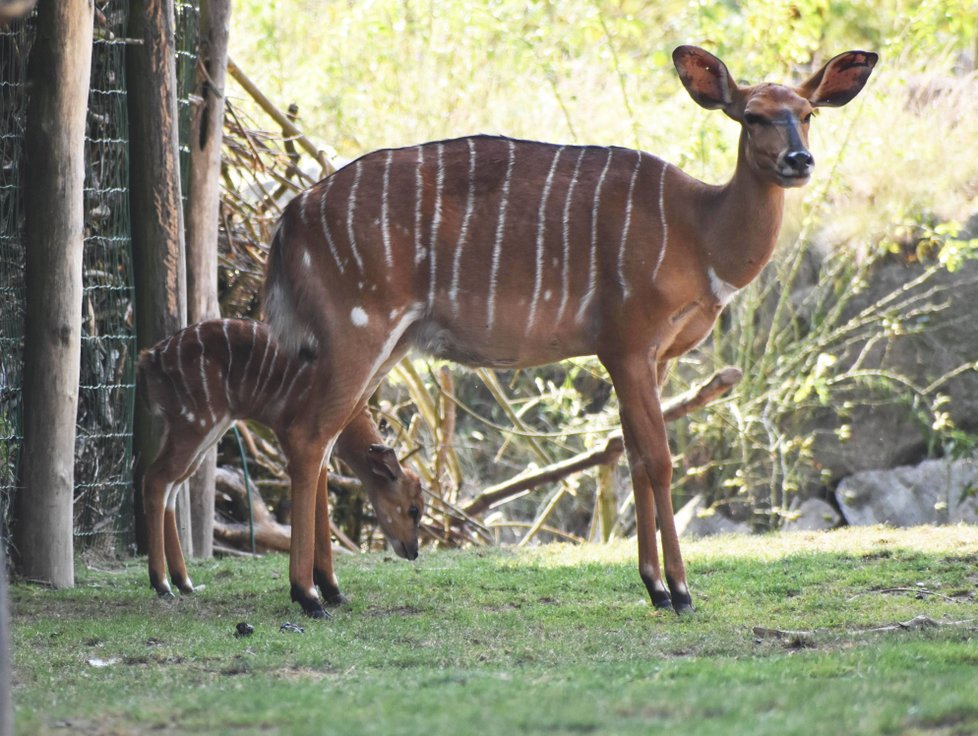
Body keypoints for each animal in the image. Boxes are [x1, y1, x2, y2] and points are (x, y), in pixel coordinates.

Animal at [138, 320, 424, 608]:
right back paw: (162, 584)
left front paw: (328, 589)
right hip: (195, 424)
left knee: (172, 486)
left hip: (203, 430)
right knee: (156, 479)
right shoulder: (297, 439)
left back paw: (184, 582)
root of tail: (150, 357)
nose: (413, 551)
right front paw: (320, 591)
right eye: (414, 510)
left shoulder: (322, 450)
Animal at [264, 46, 872, 620]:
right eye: (752, 116)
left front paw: (654, 588)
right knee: (306, 435)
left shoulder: (655, 357)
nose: (799, 160)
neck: (699, 232)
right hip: (358, 333)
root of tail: (289, 217)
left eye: (808, 113)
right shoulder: (628, 345)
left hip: (384, 346)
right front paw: (679, 591)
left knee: (327, 442)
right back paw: (306, 595)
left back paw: (331, 587)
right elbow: (658, 459)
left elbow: (632, 457)